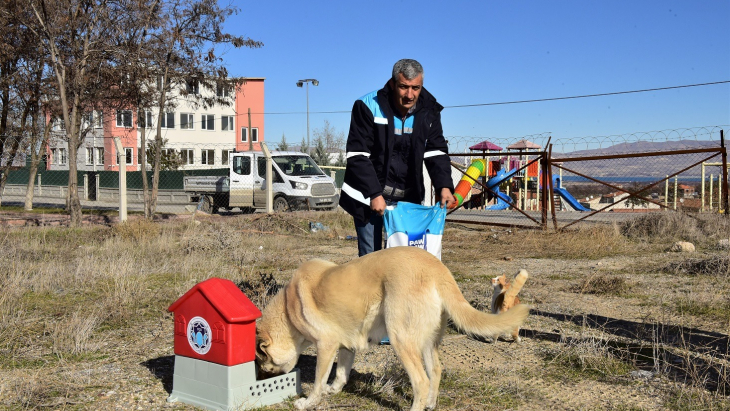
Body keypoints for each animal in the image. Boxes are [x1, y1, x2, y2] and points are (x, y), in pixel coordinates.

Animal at [256, 246, 528, 410]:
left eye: (263, 361)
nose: (266, 378)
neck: (288, 308)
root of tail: (437, 269)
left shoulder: (326, 346)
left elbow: (318, 381)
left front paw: (308, 401)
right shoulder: (346, 346)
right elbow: (341, 374)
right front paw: (333, 390)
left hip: (401, 339)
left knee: (421, 381)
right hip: (427, 342)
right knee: (435, 372)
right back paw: (430, 404)